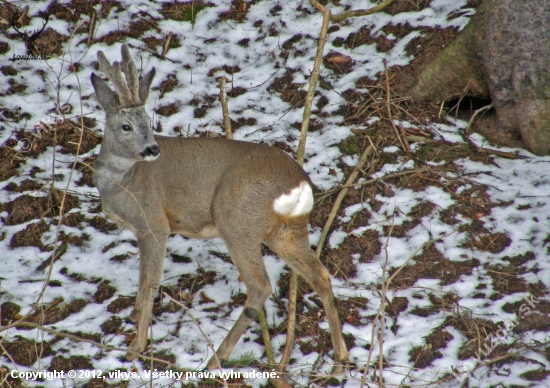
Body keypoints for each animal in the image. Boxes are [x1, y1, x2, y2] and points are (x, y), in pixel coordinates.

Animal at [90, 44, 350, 372]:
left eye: (148, 123)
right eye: (126, 126)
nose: (152, 149)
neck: (123, 182)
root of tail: (301, 185)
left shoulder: (154, 223)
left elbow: (149, 282)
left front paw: (135, 348)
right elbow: (140, 278)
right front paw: (134, 316)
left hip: (237, 221)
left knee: (261, 286)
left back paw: (216, 359)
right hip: (286, 231)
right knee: (321, 276)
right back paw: (341, 359)